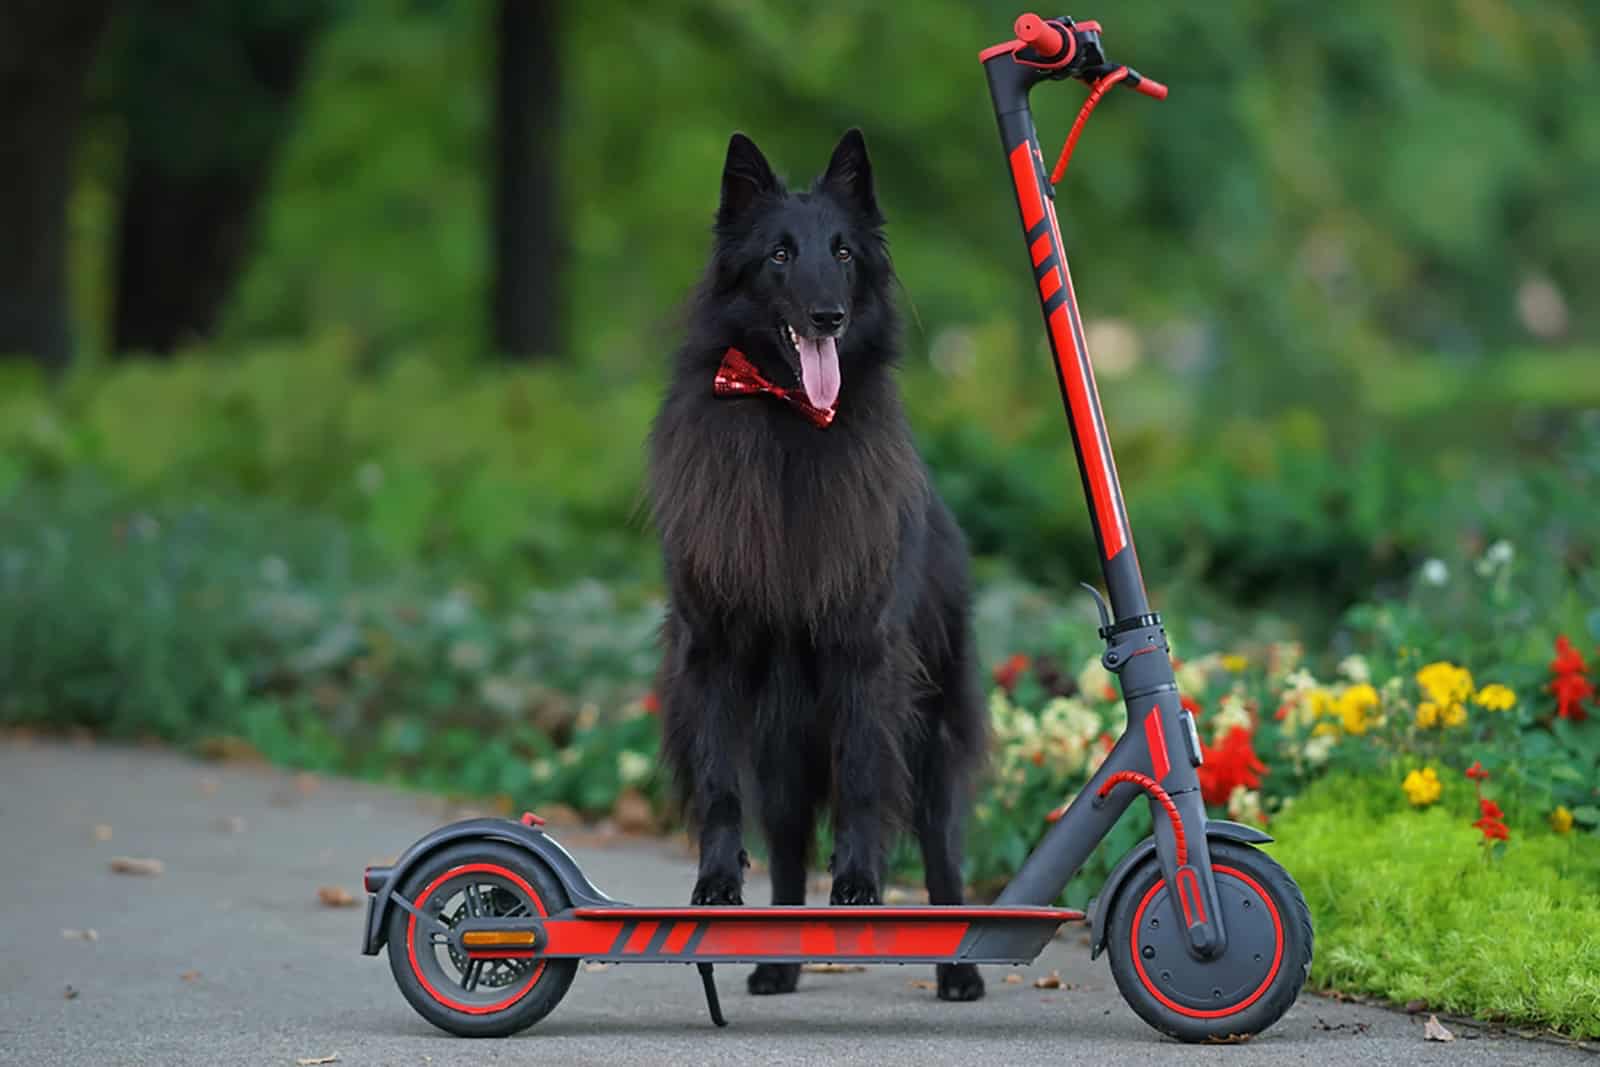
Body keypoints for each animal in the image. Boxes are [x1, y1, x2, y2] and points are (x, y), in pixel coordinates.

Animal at [649, 131, 985, 1004]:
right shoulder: (712, 651)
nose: (828, 314)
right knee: (789, 848)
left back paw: (960, 968)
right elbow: (719, 787)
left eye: (842, 252)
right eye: (778, 254)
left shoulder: (864, 653)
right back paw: (777, 960)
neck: (791, 421)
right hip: (786, 749)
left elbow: (865, 775)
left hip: (931, 730)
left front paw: (860, 881)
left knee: (941, 845)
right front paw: (715, 882)